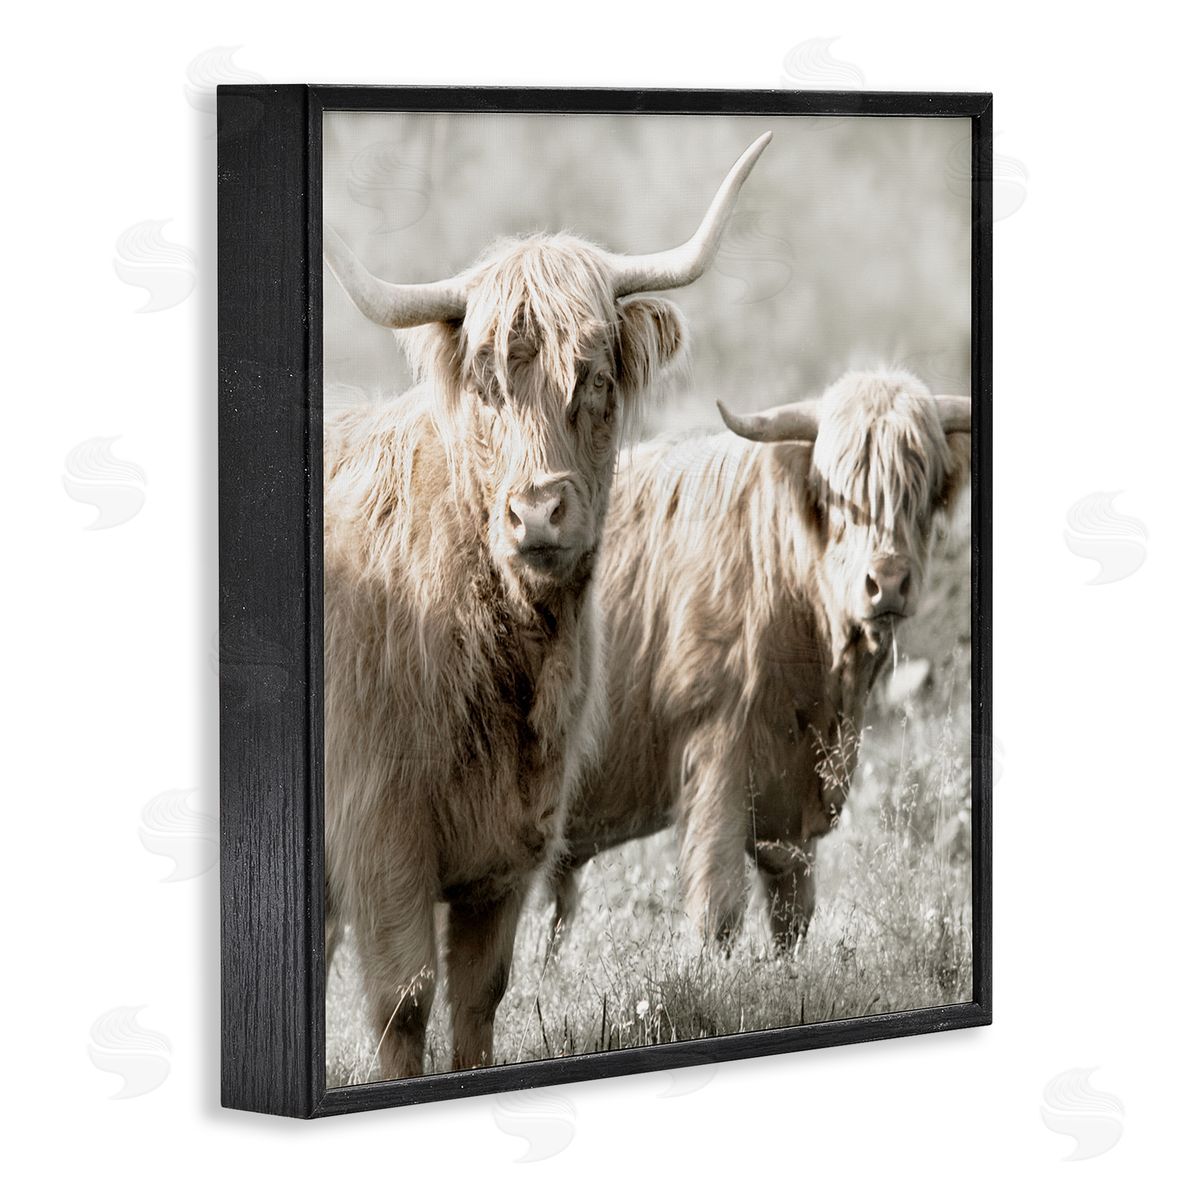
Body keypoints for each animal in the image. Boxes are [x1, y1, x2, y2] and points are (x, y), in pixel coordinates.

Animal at [321, 131, 772, 1079]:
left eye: (594, 379)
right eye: (489, 384)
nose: (536, 512)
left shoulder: (508, 851)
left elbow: (478, 999)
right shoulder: (377, 834)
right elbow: (404, 1003)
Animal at [550, 368, 971, 952]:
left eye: (920, 492)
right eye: (838, 498)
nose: (886, 583)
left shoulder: (793, 801)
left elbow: (792, 913)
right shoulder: (718, 755)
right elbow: (718, 908)